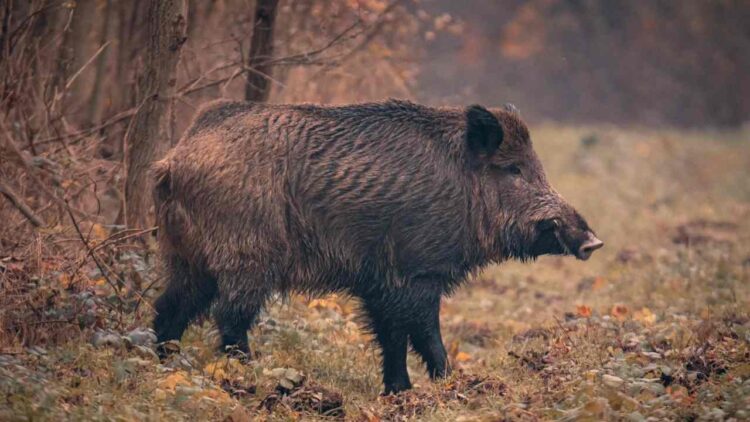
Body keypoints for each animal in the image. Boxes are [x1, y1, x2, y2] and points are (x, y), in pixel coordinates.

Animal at [151, 99, 603, 394]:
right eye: (513, 169)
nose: (593, 241)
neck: (462, 187)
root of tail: (173, 160)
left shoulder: (381, 283)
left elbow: (392, 336)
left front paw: (399, 392)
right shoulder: (415, 273)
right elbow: (423, 333)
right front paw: (446, 385)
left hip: (188, 257)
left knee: (169, 307)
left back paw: (165, 365)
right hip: (246, 254)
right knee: (230, 315)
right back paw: (250, 376)